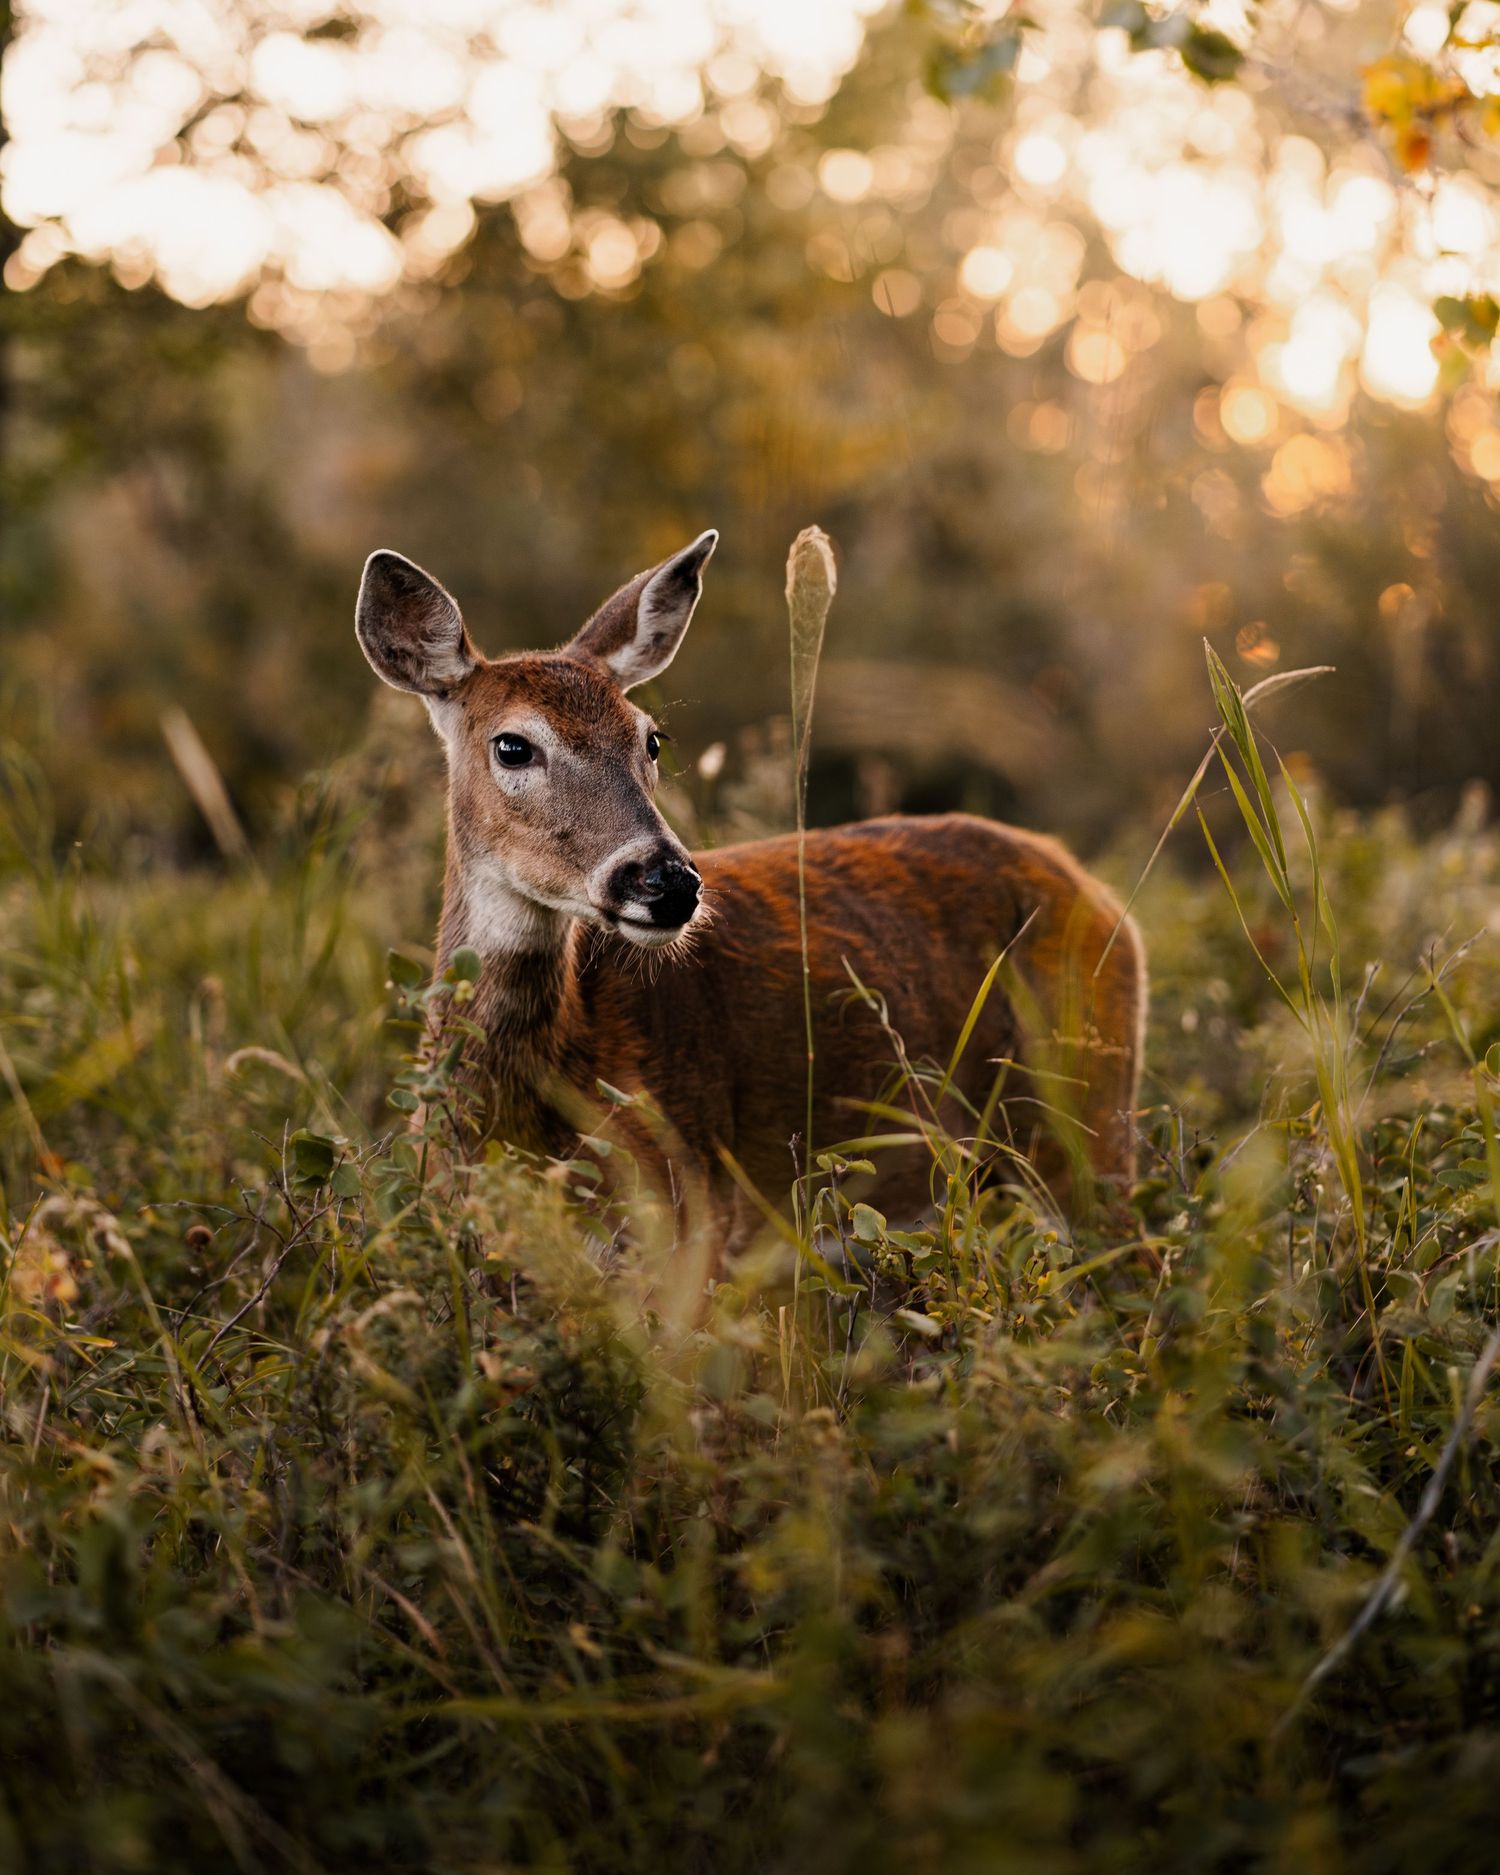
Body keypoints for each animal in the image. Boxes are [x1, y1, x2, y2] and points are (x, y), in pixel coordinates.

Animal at [355, 530, 1146, 1254]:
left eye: (651, 738)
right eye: (513, 745)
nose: (668, 881)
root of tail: (1092, 888)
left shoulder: (690, 1216)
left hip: (1086, 1109)